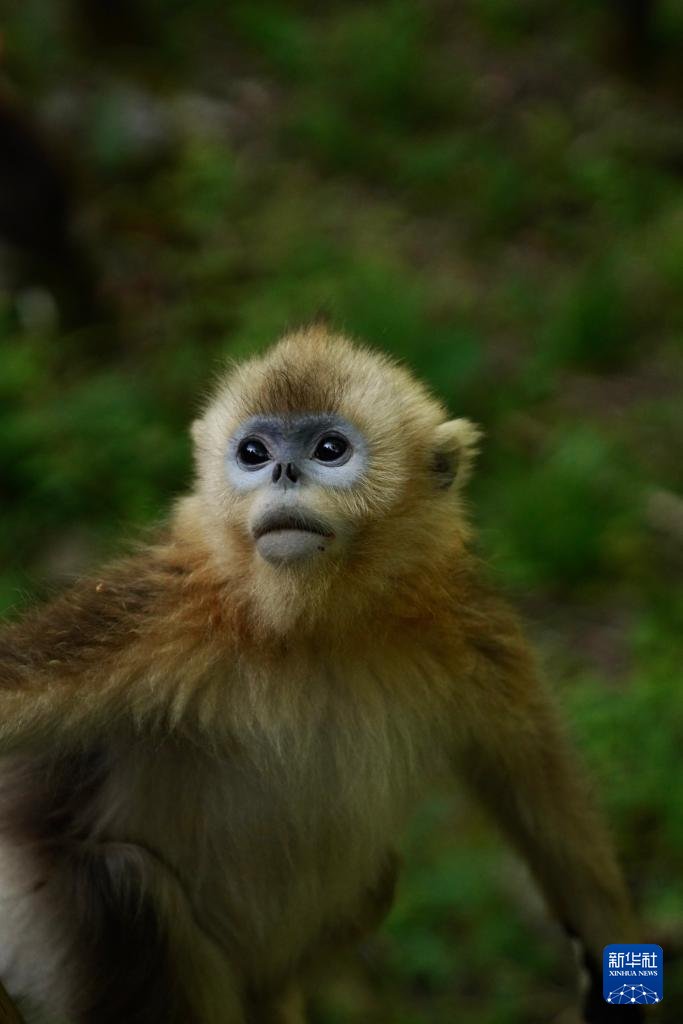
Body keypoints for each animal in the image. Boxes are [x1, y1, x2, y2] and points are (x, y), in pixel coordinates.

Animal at [0, 327, 640, 1024]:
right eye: (253, 453)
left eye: (329, 449)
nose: (283, 471)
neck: (310, 631)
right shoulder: (155, 617)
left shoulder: (465, 623)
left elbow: (530, 770)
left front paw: (606, 948)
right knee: (124, 883)